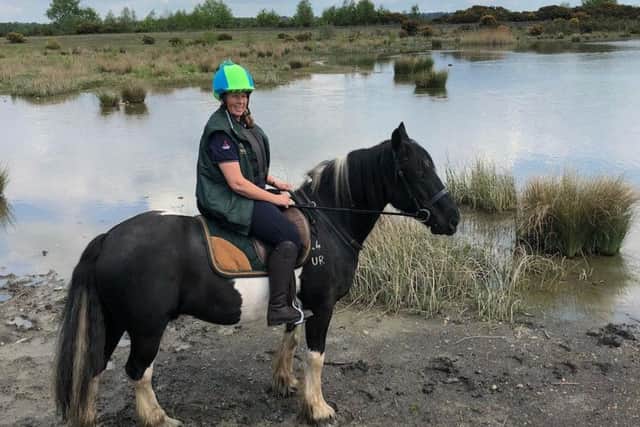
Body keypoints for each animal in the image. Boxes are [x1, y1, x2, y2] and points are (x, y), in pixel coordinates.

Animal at [53, 123, 460, 426]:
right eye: (417, 169)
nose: (453, 219)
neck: (329, 221)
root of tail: (108, 239)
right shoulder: (323, 307)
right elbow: (316, 356)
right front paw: (318, 409)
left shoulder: (298, 304)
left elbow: (290, 340)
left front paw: (285, 382)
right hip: (146, 327)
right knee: (138, 371)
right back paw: (158, 418)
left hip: (115, 321)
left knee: (93, 367)